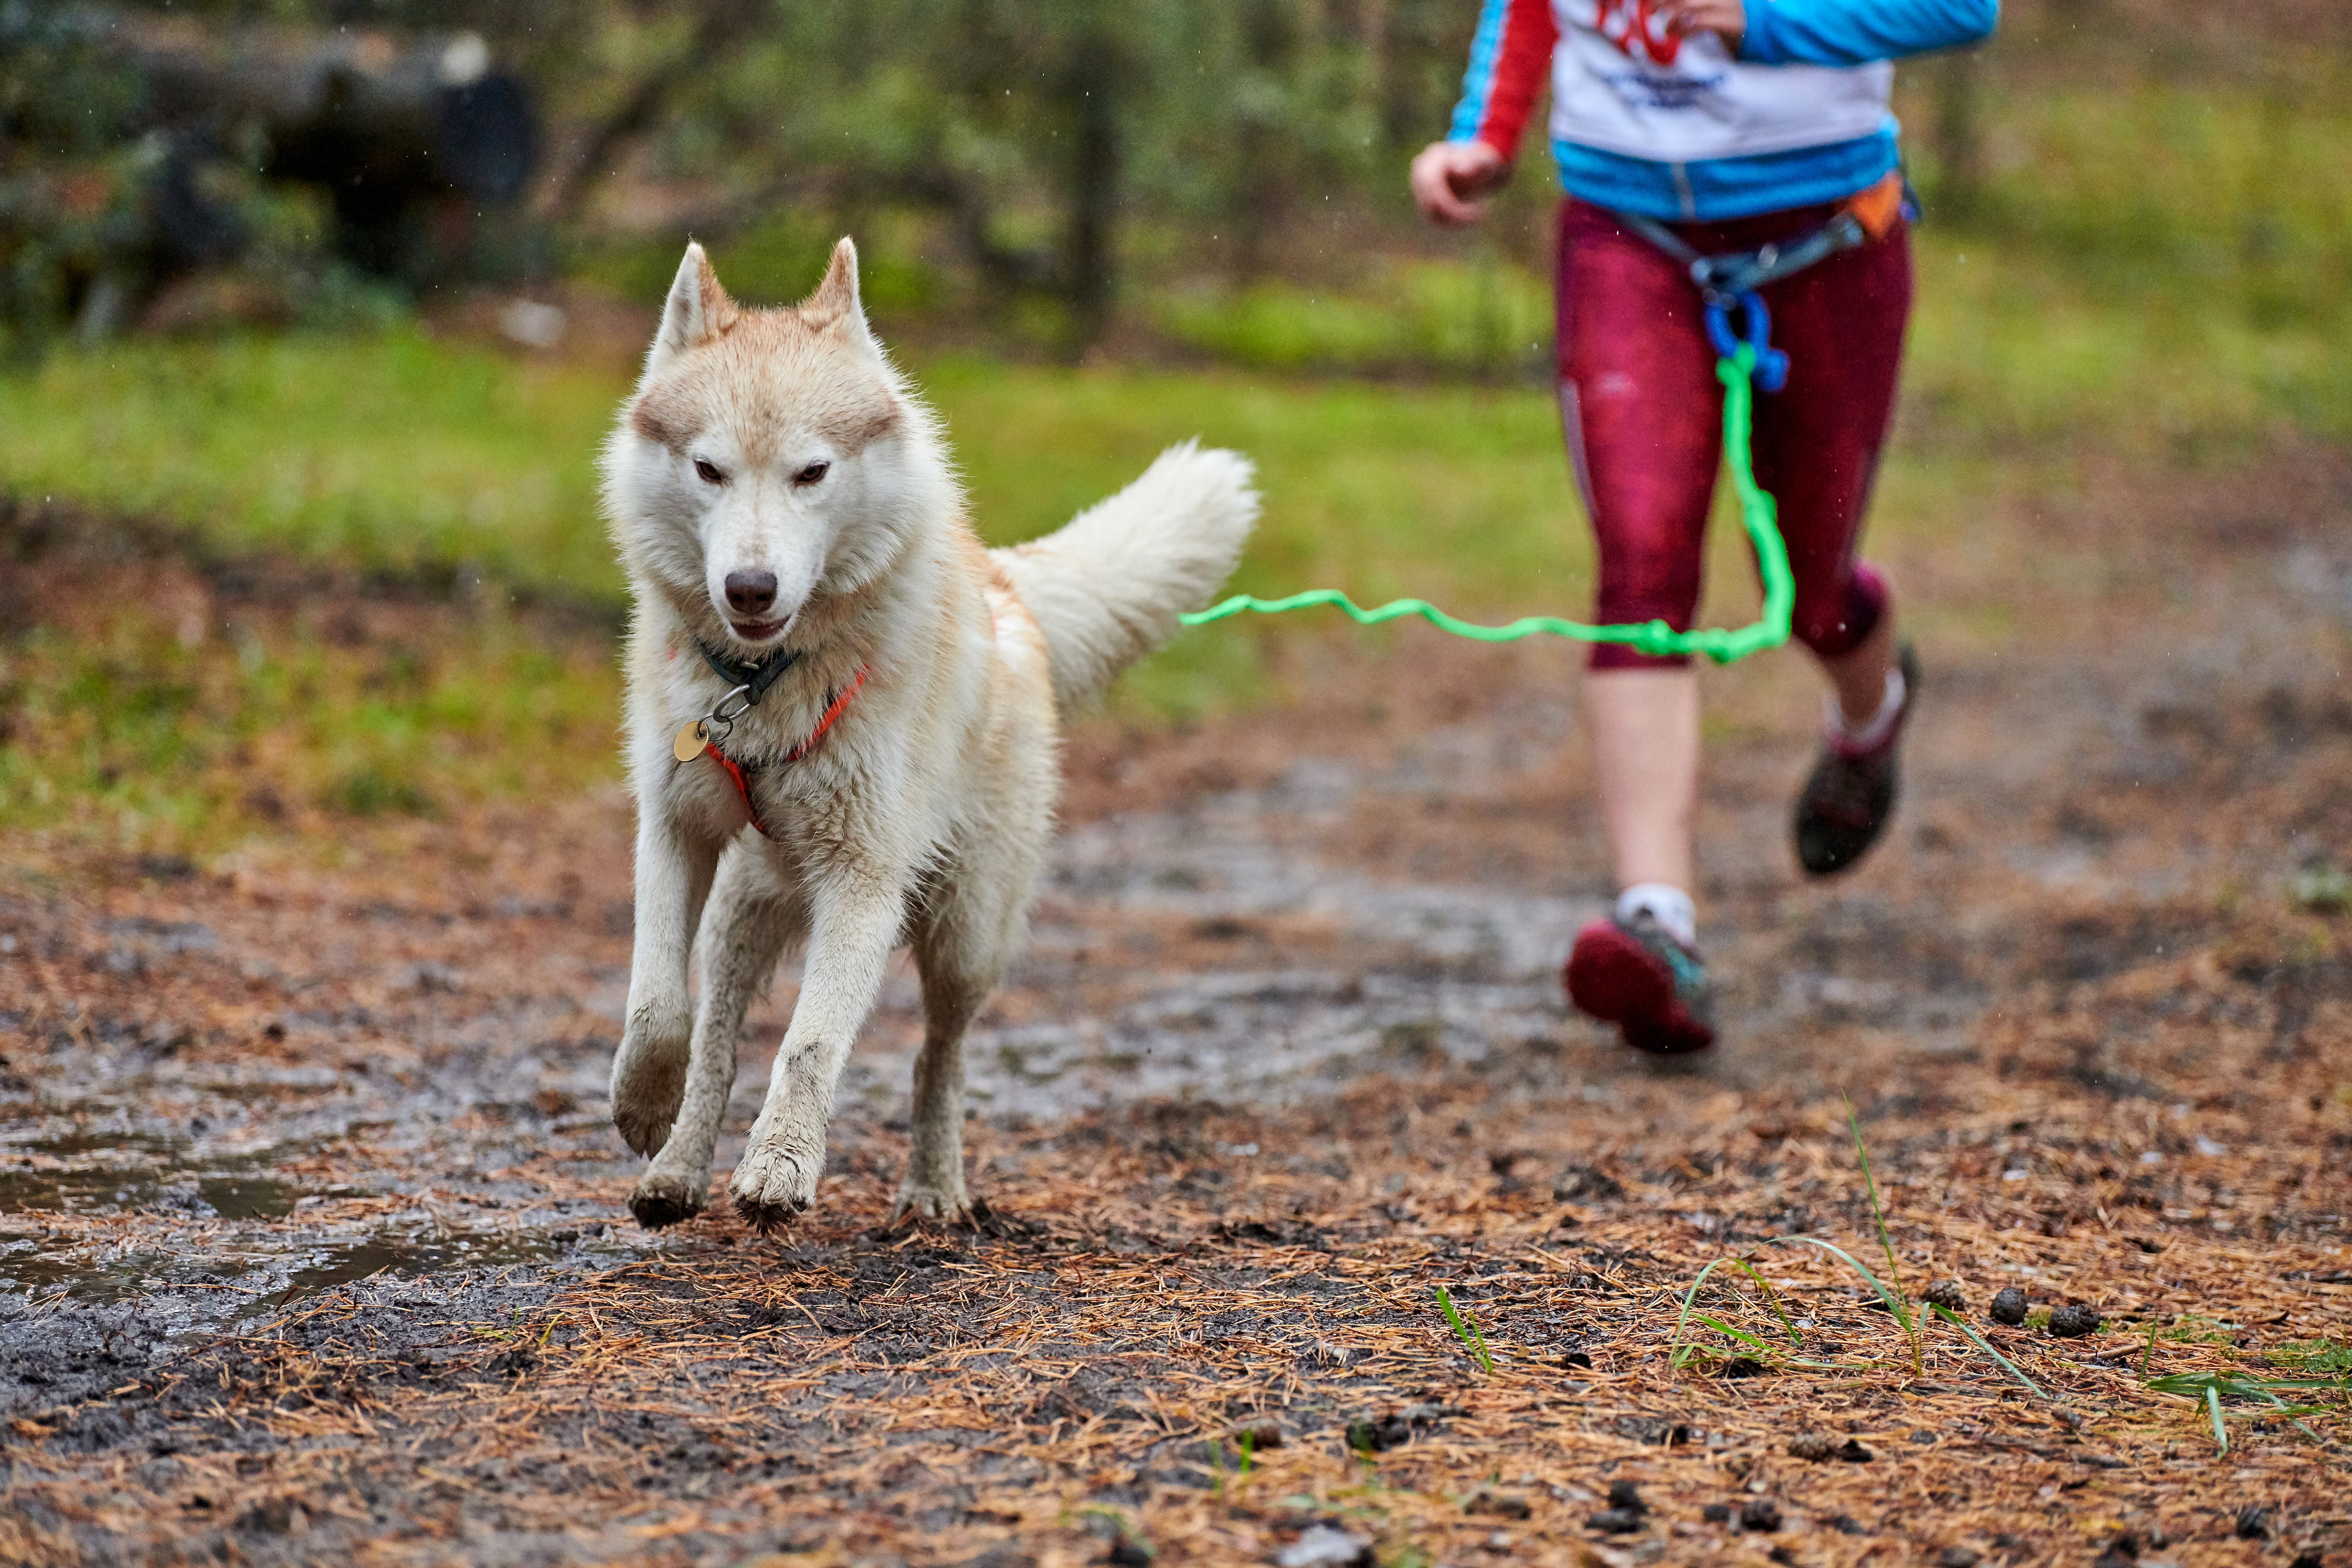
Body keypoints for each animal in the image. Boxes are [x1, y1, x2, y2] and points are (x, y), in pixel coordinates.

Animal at [597, 239, 1261, 1232]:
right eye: (709, 468)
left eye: (812, 472)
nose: (749, 586)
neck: (766, 682)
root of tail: (1006, 585)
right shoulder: (675, 831)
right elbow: (656, 1005)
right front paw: (645, 1101)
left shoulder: (865, 880)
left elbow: (811, 1044)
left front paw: (782, 1167)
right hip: (743, 916)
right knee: (718, 1031)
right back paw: (678, 1167)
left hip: (964, 932)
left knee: (938, 1054)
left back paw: (934, 1186)